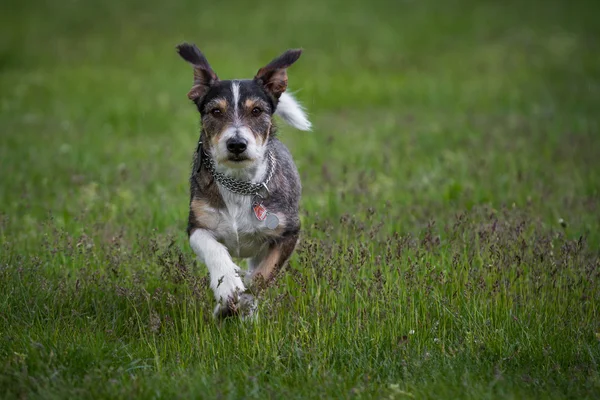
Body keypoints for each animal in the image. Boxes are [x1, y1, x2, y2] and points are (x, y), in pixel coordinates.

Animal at [176, 43, 312, 318]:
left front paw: (242, 300)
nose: (237, 144)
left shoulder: (289, 233)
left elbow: (261, 278)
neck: (238, 184)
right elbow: (214, 249)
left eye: (257, 111)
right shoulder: (196, 225)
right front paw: (228, 286)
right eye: (215, 111)